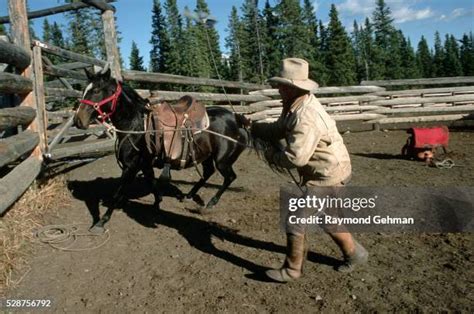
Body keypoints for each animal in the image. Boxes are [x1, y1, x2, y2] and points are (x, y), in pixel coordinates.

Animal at [73, 68, 250, 231]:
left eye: (96, 90)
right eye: (84, 90)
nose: (78, 120)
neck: (137, 125)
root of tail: (237, 118)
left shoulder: (131, 167)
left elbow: (118, 192)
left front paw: (101, 222)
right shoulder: (145, 165)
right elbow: (152, 183)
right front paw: (157, 202)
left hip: (222, 160)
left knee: (229, 177)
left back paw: (211, 203)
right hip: (205, 156)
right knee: (208, 173)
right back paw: (189, 195)